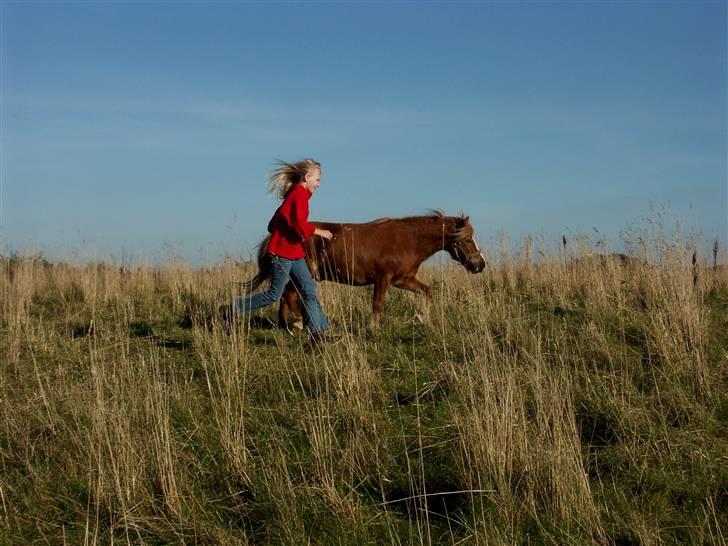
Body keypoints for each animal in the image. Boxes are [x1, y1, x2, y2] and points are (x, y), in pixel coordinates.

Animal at [242, 208, 486, 328]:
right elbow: (377, 304)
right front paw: (373, 328)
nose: (480, 265)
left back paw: (287, 326)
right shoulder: (383, 278)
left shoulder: (402, 280)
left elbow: (427, 291)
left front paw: (421, 318)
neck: (408, 239)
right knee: (288, 297)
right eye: (466, 239)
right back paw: (298, 323)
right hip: (303, 275)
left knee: (284, 297)